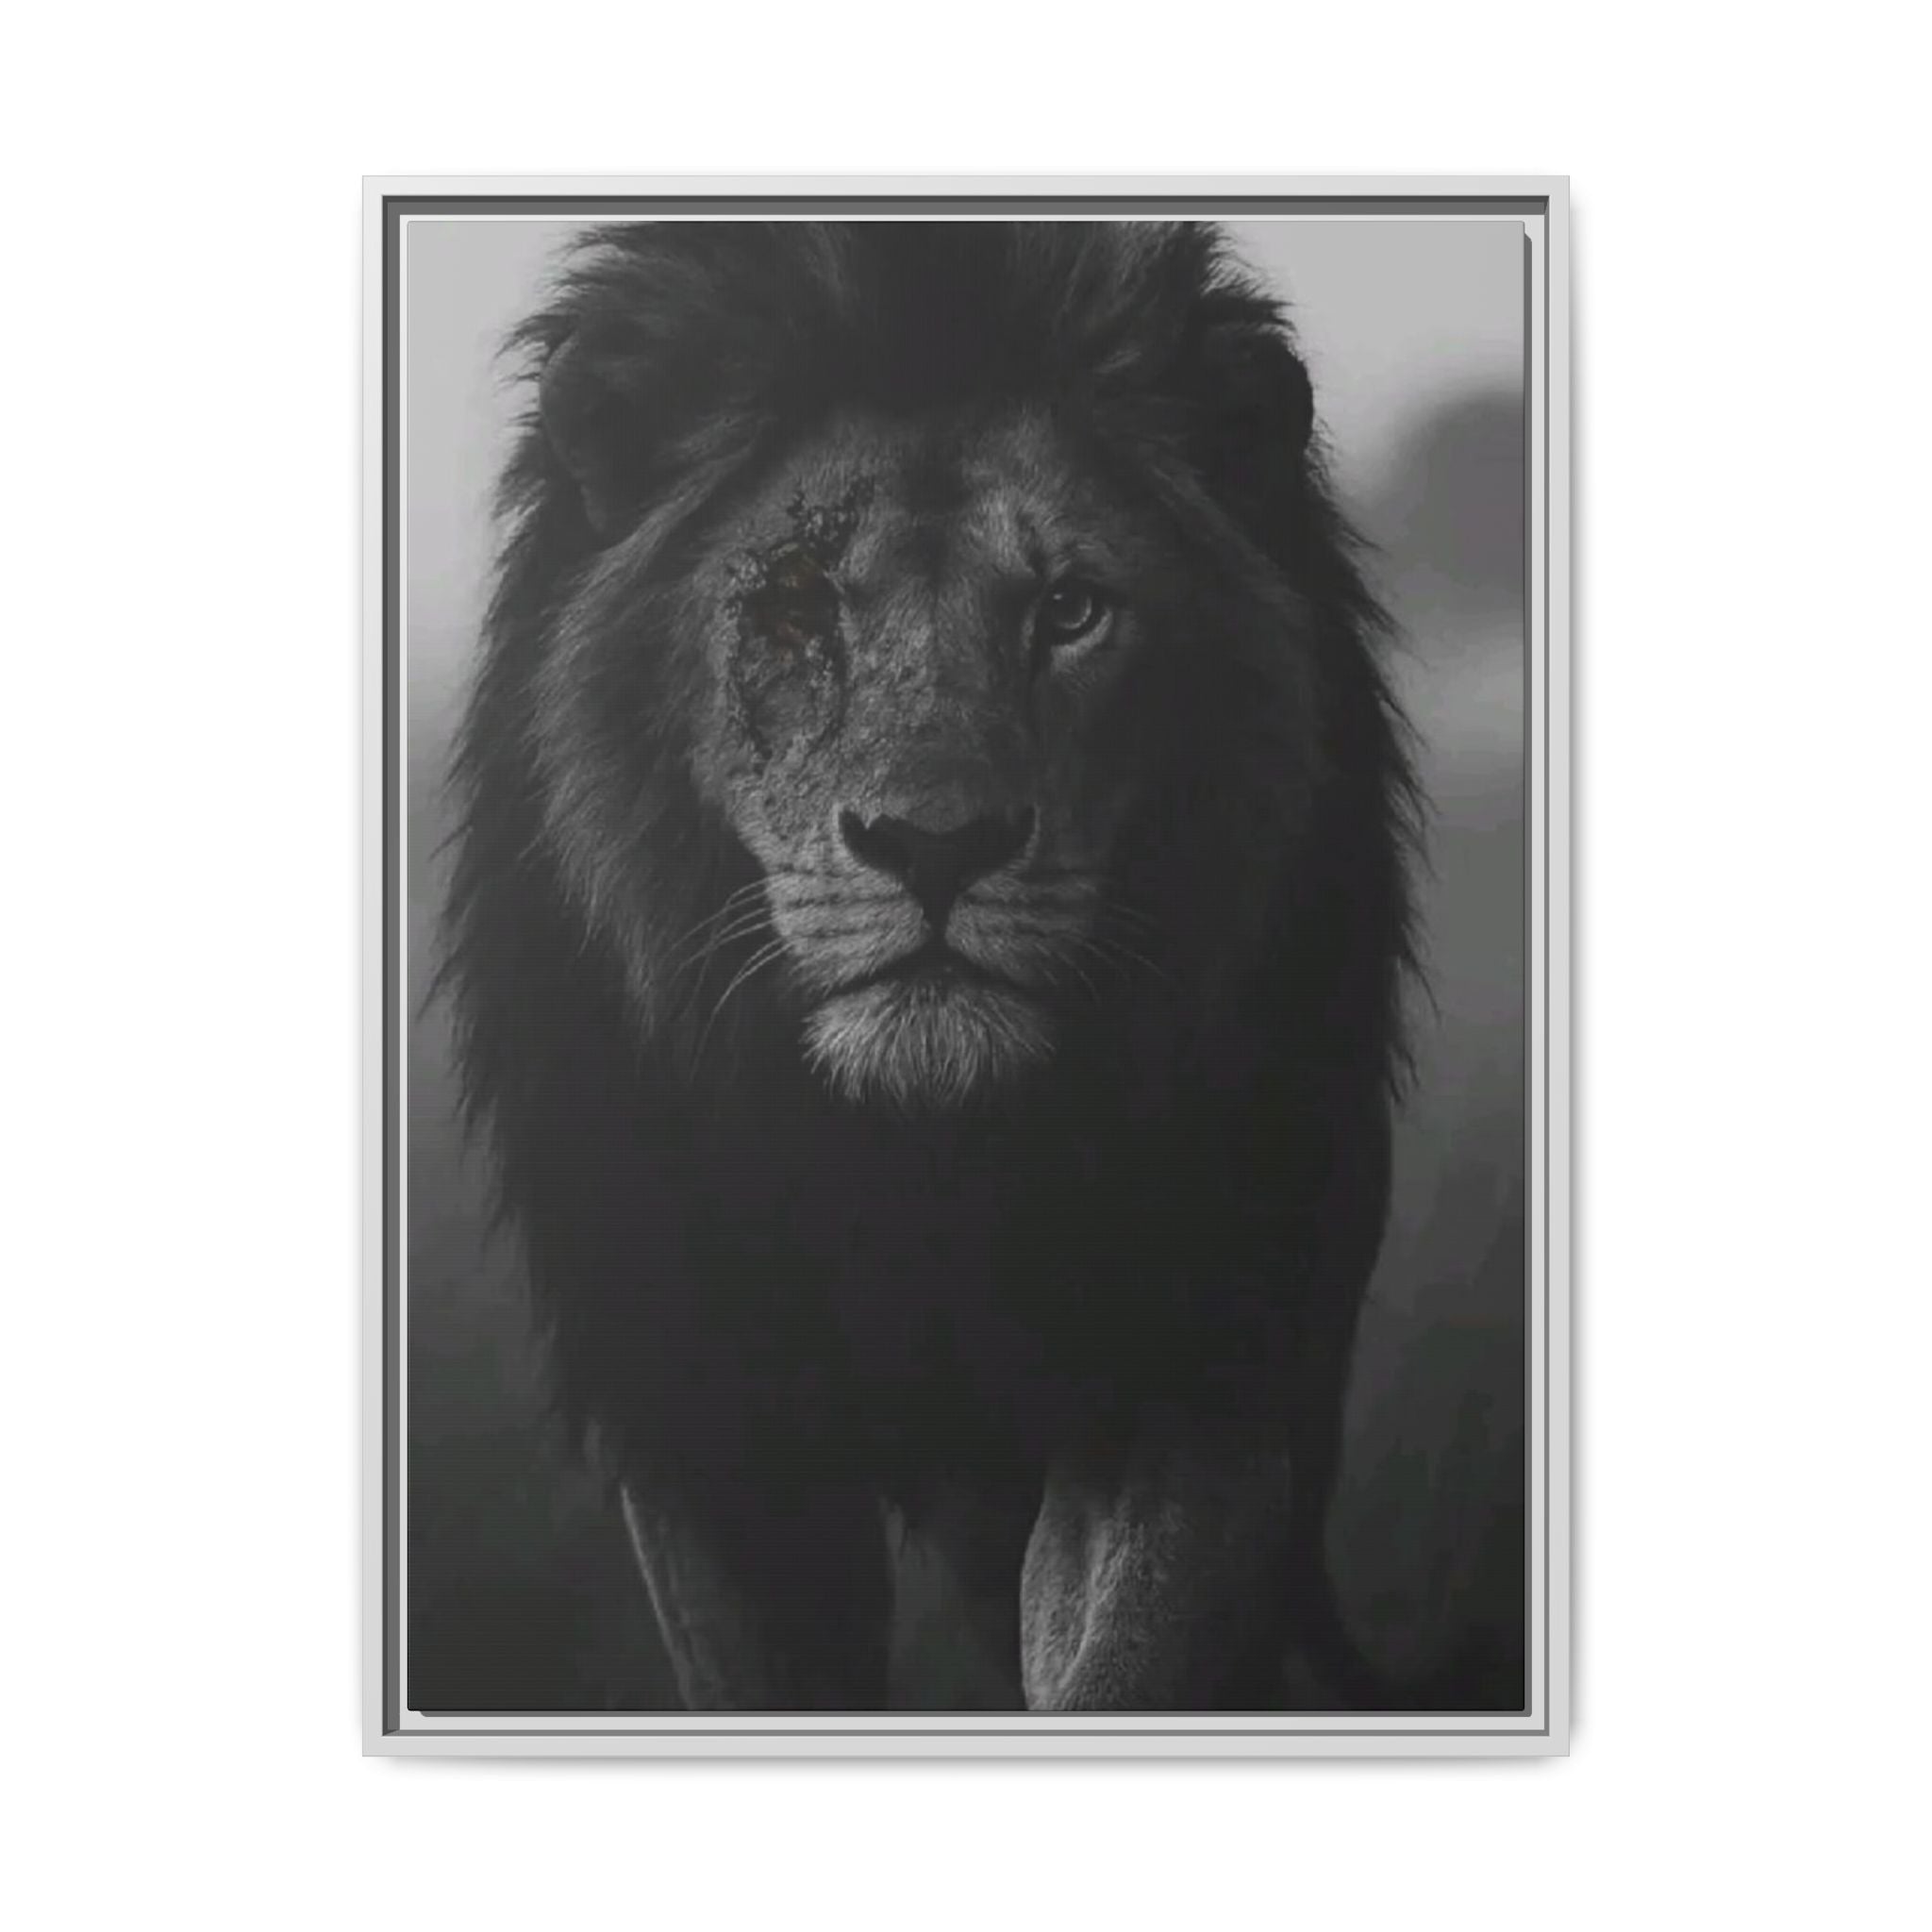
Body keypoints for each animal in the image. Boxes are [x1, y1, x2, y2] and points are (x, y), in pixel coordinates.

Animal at [442, 220, 1426, 1711]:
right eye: (798, 608)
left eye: (1070, 610)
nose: (936, 844)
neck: (920, 1167)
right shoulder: (702, 1419)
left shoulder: (1195, 1367)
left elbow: (1125, 1661)